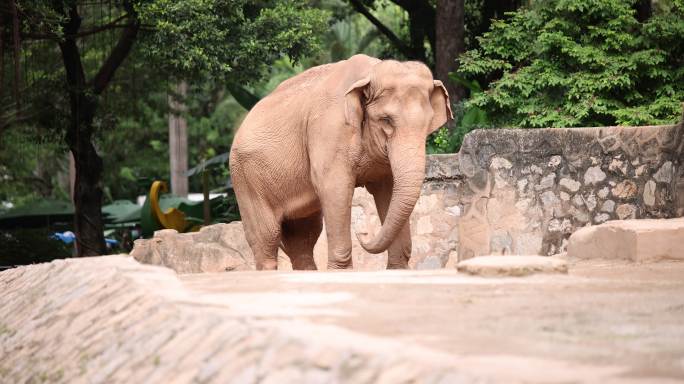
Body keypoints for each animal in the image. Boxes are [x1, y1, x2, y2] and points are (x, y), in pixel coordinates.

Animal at [230, 54, 454, 270]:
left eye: (429, 123)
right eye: (386, 120)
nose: (362, 233)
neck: (369, 73)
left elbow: (389, 191)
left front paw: (399, 270)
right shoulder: (328, 131)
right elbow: (336, 189)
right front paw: (341, 271)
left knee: (303, 237)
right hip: (245, 179)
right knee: (267, 237)